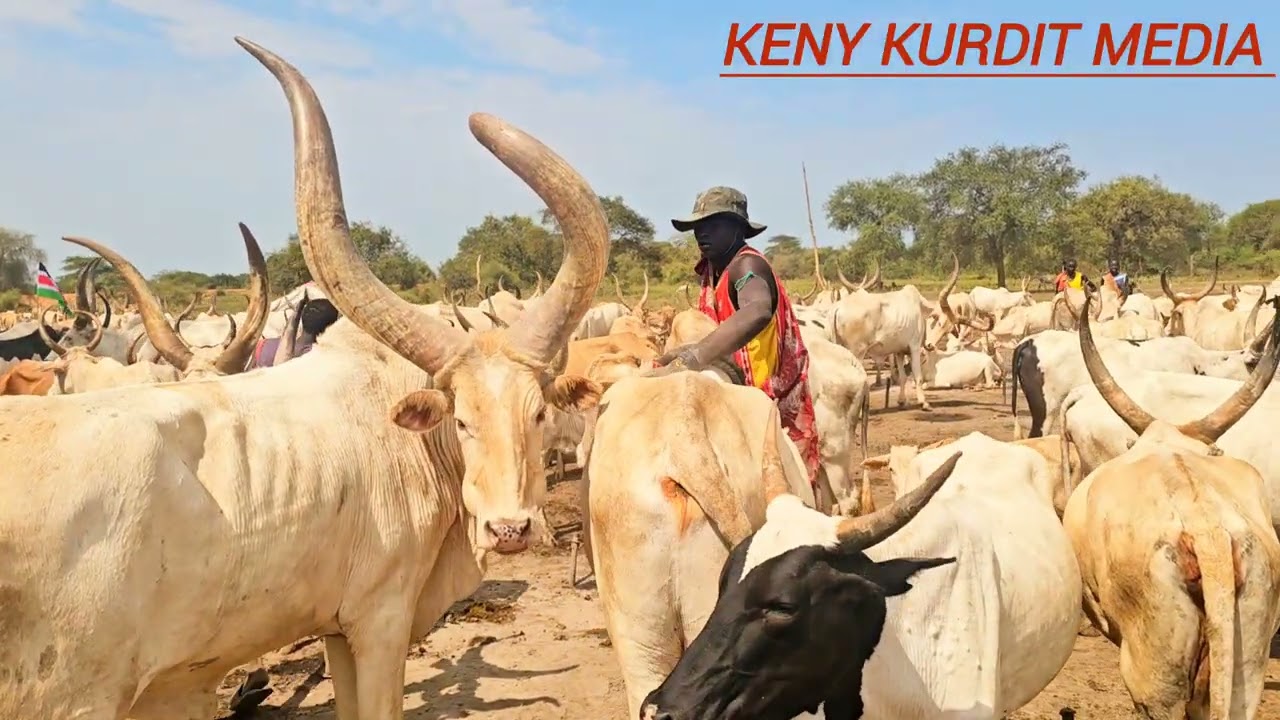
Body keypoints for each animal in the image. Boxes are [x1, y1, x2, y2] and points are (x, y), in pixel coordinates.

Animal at [0, 37, 609, 720]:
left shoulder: (336, 628)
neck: (408, 441)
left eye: (538, 413)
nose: (511, 530)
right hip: (75, 697)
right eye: (460, 419)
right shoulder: (380, 619)